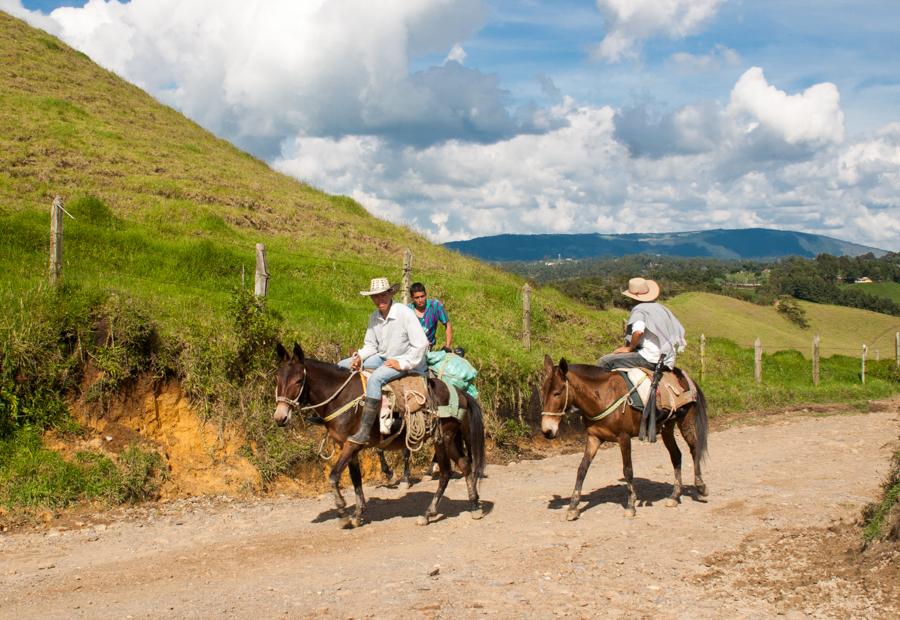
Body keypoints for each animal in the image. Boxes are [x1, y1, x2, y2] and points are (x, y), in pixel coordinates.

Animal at [274, 344, 486, 528]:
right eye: (277, 379)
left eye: (298, 381)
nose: (280, 417)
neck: (341, 397)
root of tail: (460, 393)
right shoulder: (348, 446)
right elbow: (356, 480)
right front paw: (358, 514)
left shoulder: (353, 444)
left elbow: (333, 476)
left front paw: (342, 512)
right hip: (451, 439)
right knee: (465, 465)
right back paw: (474, 506)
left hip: (442, 438)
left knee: (446, 472)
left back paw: (428, 513)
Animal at [536, 354, 708, 520]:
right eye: (542, 392)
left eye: (557, 393)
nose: (547, 431)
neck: (602, 397)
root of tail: (687, 379)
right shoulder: (594, 438)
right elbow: (582, 469)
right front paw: (573, 507)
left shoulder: (624, 438)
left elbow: (627, 470)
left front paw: (631, 505)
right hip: (666, 429)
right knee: (676, 455)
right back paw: (674, 496)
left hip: (686, 423)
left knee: (694, 449)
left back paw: (700, 488)